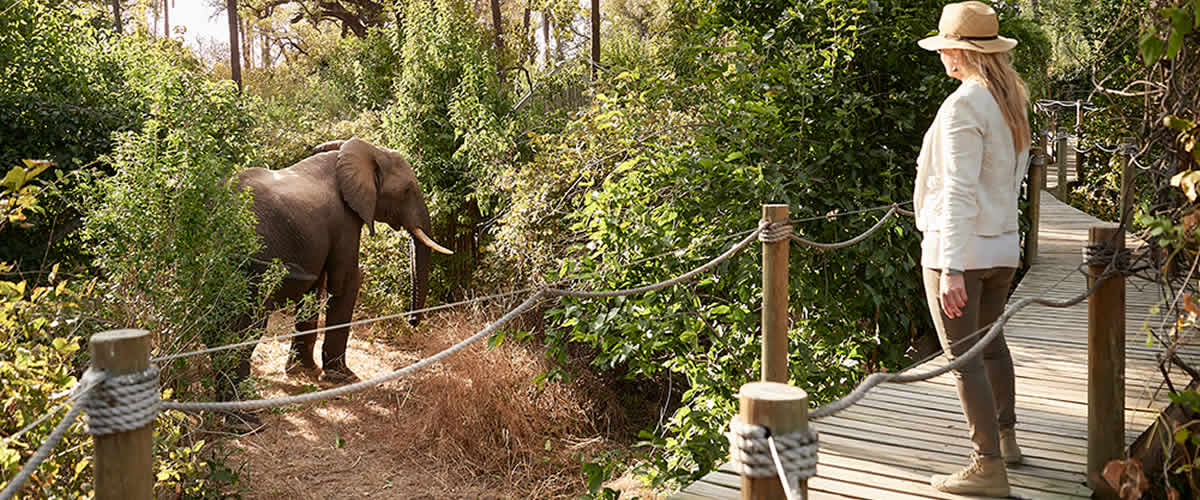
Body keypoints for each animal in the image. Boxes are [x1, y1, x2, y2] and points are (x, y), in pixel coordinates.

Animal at [223, 137, 452, 401]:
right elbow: (347, 280)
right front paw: (345, 377)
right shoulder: (345, 219)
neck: (360, 152)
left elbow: (315, 287)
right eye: (406, 191)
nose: (412, 321)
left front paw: (305, 371)